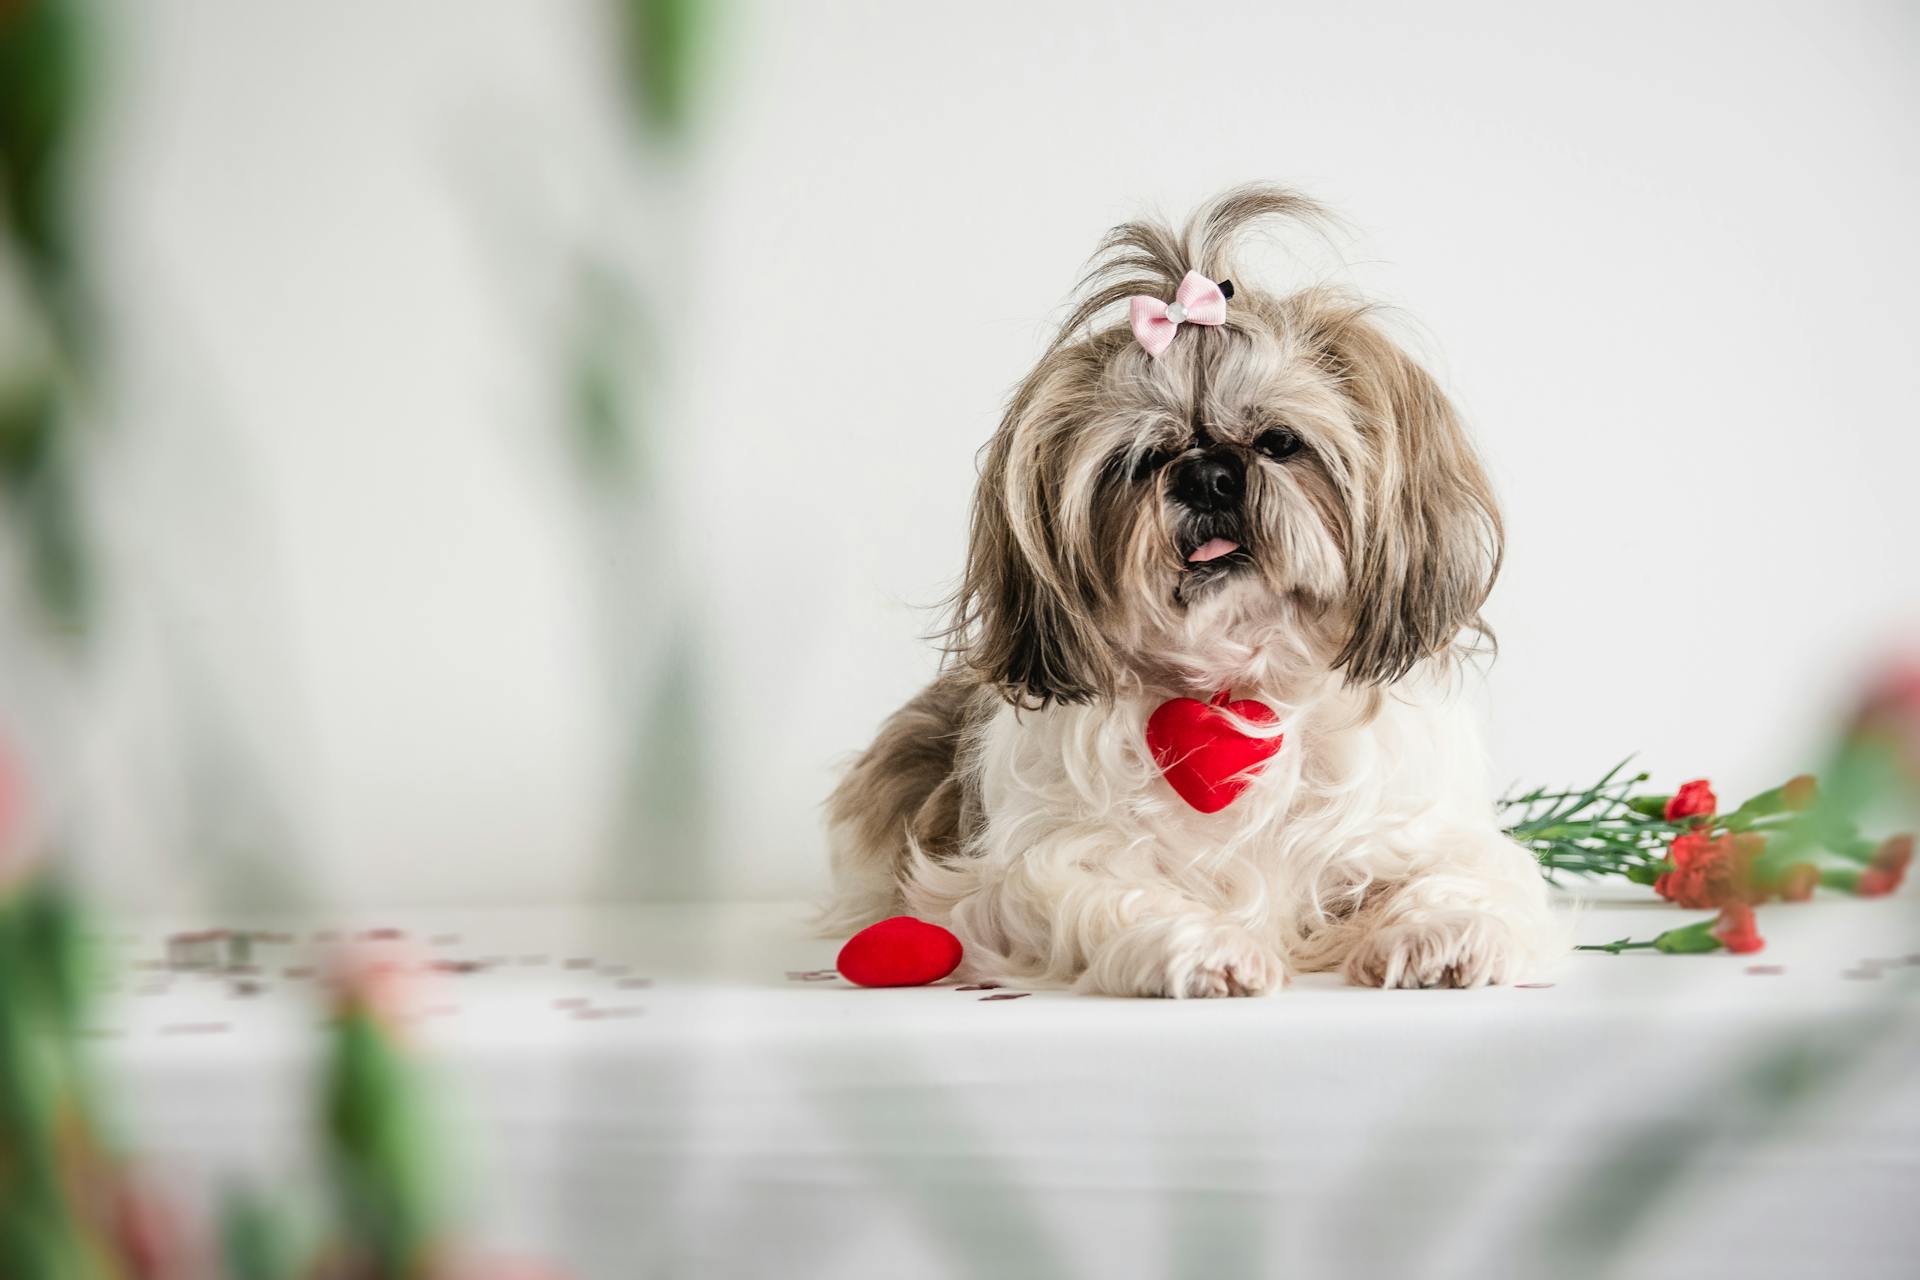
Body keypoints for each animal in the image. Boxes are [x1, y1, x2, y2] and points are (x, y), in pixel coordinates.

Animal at [825, 185, 1559, 997]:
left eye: (1279, 442)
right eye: (1142, 461)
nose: (1207, 474)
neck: (1238, 683)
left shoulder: (1424, 830)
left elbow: (1461, 873)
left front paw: (1444, 934)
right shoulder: (1036, 868)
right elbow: (1111, 893)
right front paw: (1203, 949)